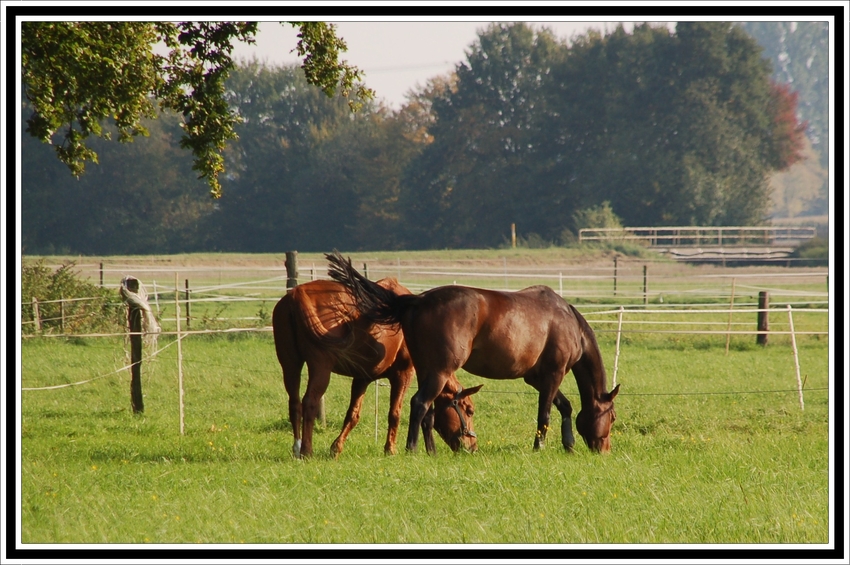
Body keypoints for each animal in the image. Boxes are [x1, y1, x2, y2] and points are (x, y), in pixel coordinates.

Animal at [274, 278, 480, 458]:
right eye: (469, 410)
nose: (472, 447)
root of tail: (297, 294)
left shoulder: (362, 378)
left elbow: (353, 415)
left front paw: (336, 448)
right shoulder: (403, 375)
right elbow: (395, 413)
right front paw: (390, 449)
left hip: (290, 364)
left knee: (294, 403)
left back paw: (297, 448)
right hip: (320, 368)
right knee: (309, 402)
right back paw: (306, 451)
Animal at [324, 251, 616, 454]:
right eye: (612, 417)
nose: (604, 450)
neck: (568, 322)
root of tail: (418, 300)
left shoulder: (536, 378)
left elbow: (564, 406)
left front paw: (568, 443)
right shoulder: (553, 375)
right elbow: (544, 414)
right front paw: (540, 447)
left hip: (427, 371)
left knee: (429, 411)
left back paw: (431, 451)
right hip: (440, 371)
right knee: (419, 404)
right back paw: (412, 448)